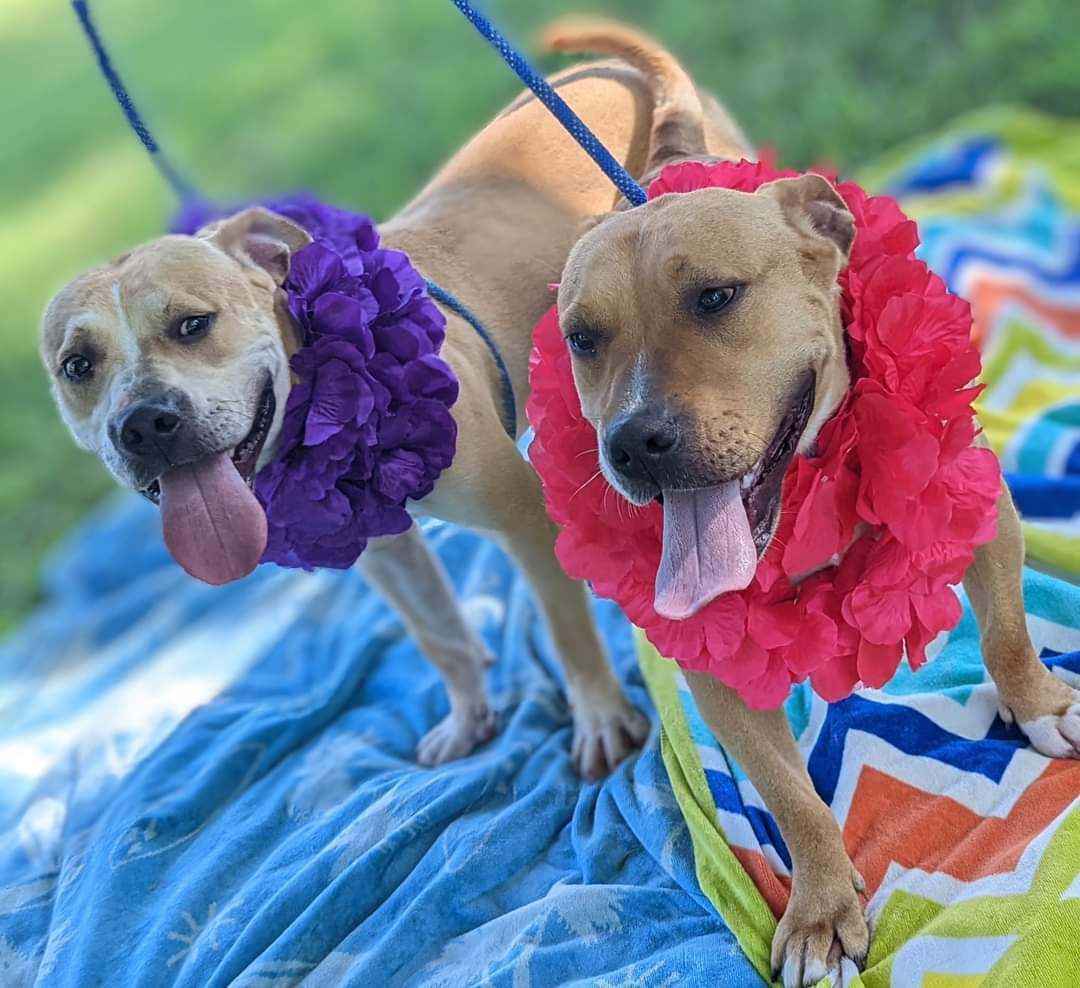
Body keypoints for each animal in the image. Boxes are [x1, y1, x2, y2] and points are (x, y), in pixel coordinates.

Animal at [35, 30, 712, 779]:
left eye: (192, 324)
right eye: (77, 366)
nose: (145, 424)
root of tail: (626, 71)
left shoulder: (523, 519)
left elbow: (564, 629)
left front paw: (598, 716)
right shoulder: (385, 554)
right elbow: (438, 633)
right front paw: (469, 718)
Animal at [547, 20, 1080, 987]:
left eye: (716, 296)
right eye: (582, 338)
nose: (631, 439)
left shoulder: (979, 510)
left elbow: (1007, 633)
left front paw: (1040, 707)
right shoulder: (716, 669)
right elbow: (791, 798)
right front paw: (822, 910)